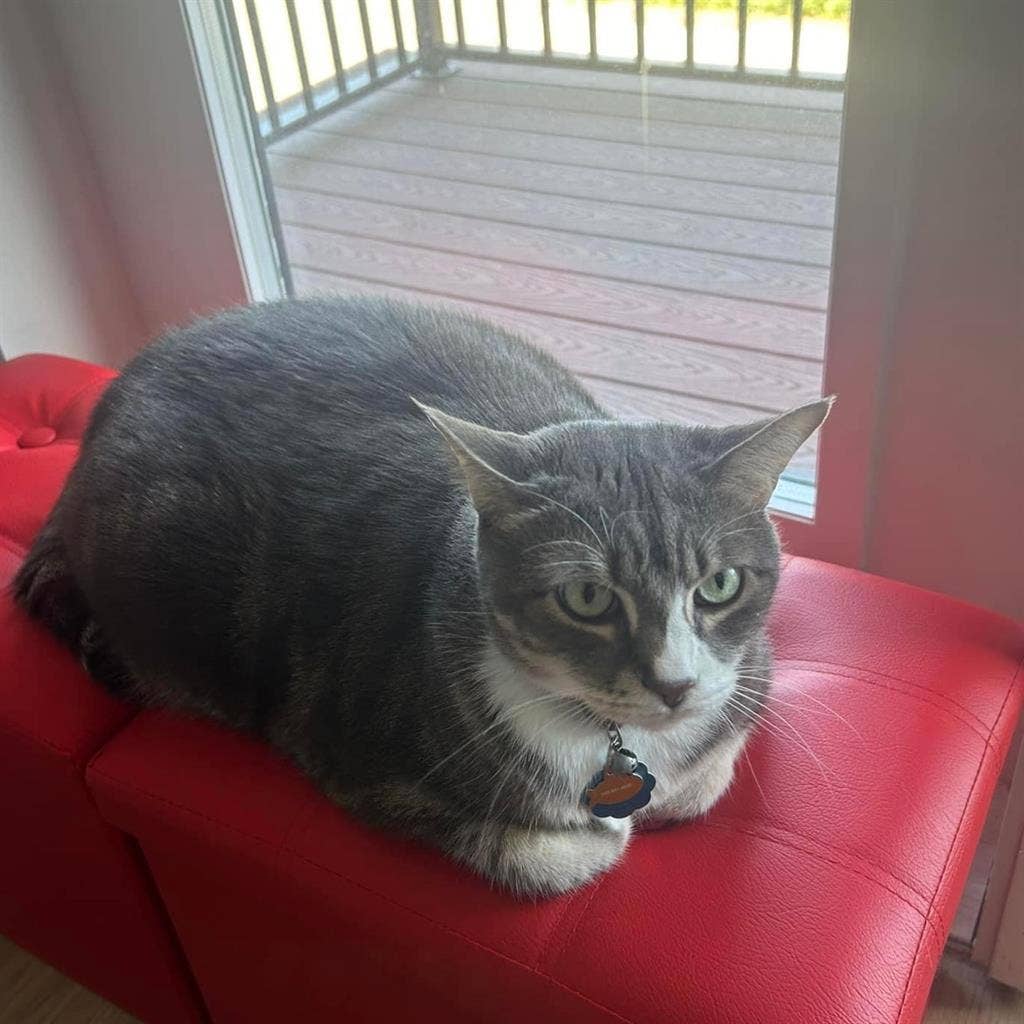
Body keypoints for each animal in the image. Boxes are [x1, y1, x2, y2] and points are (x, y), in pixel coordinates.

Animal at [14, 294, 831, 897]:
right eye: (586, 598)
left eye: (719, 585)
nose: (674, 685)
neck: (607, 736)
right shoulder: (358, 764)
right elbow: (546, 855)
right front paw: (605, 835)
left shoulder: (752, 678)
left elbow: (709, 772)